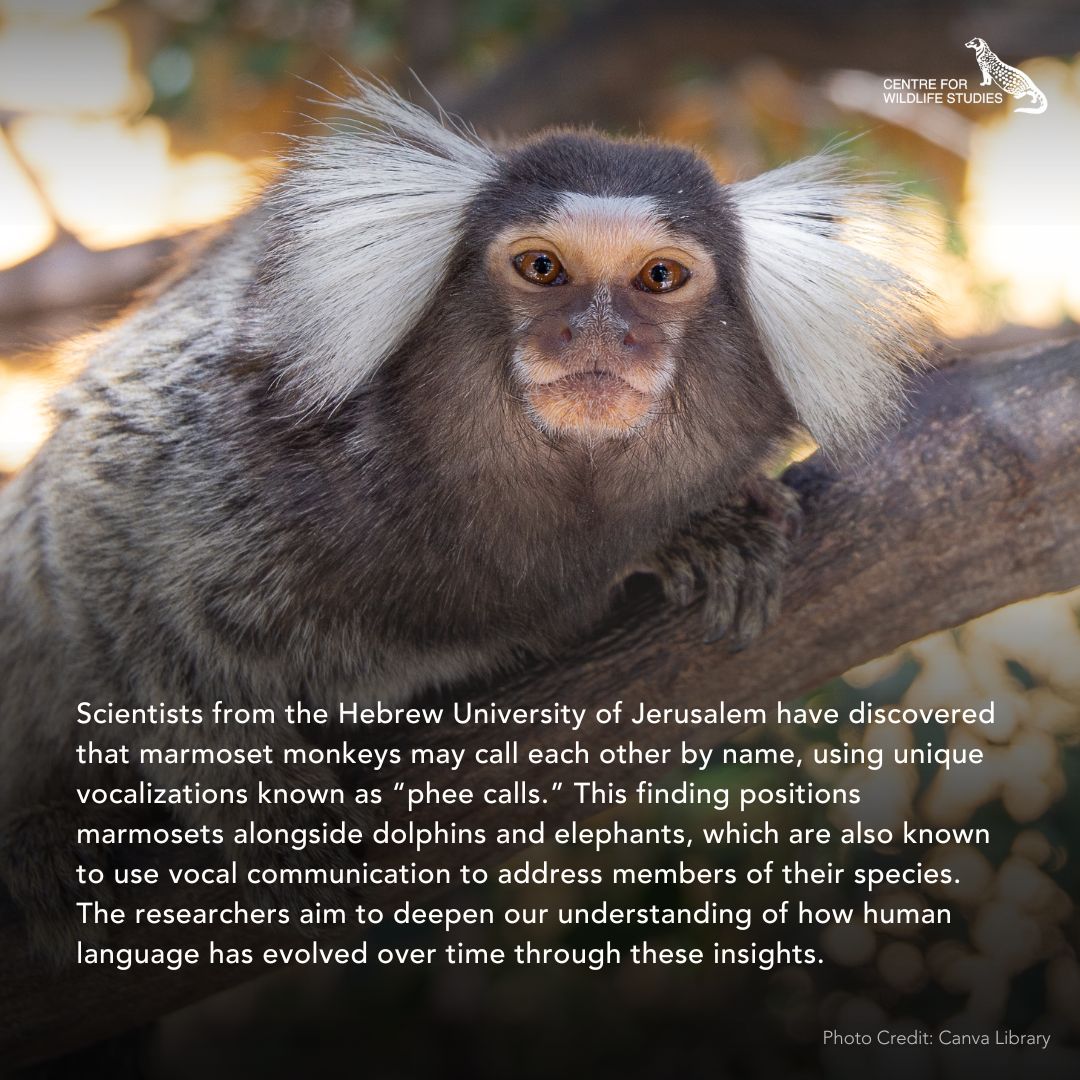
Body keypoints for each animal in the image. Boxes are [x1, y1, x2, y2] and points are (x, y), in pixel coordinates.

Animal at [0, 77, 933, 955]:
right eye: (542, 269)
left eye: (660, 277)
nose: (598, 334)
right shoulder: (240, 425)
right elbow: (99, 521)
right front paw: (265, 816)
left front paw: (708, 533)